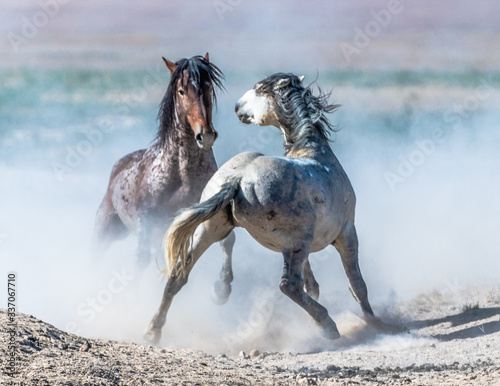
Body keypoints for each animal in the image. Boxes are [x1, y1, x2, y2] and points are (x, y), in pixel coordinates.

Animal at [94, 53, 235, 302]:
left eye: (208, 87)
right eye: (181, 91)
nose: (206, 135)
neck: (183, 175)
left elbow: (227, 241)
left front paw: (221, 290)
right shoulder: (146, 221)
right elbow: (140, 261)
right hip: (106, 226)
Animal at [146, 72, 398, 344]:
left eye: (258, 90)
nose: (237, 107)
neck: (314, 152)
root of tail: (237, 181)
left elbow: (313, 283)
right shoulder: (346, 233)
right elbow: (357, 284)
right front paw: (375, 323)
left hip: (212, 230)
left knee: (179, 273)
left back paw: (154, 330)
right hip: (295, 243)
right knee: (289, 285)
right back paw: (329, 326)